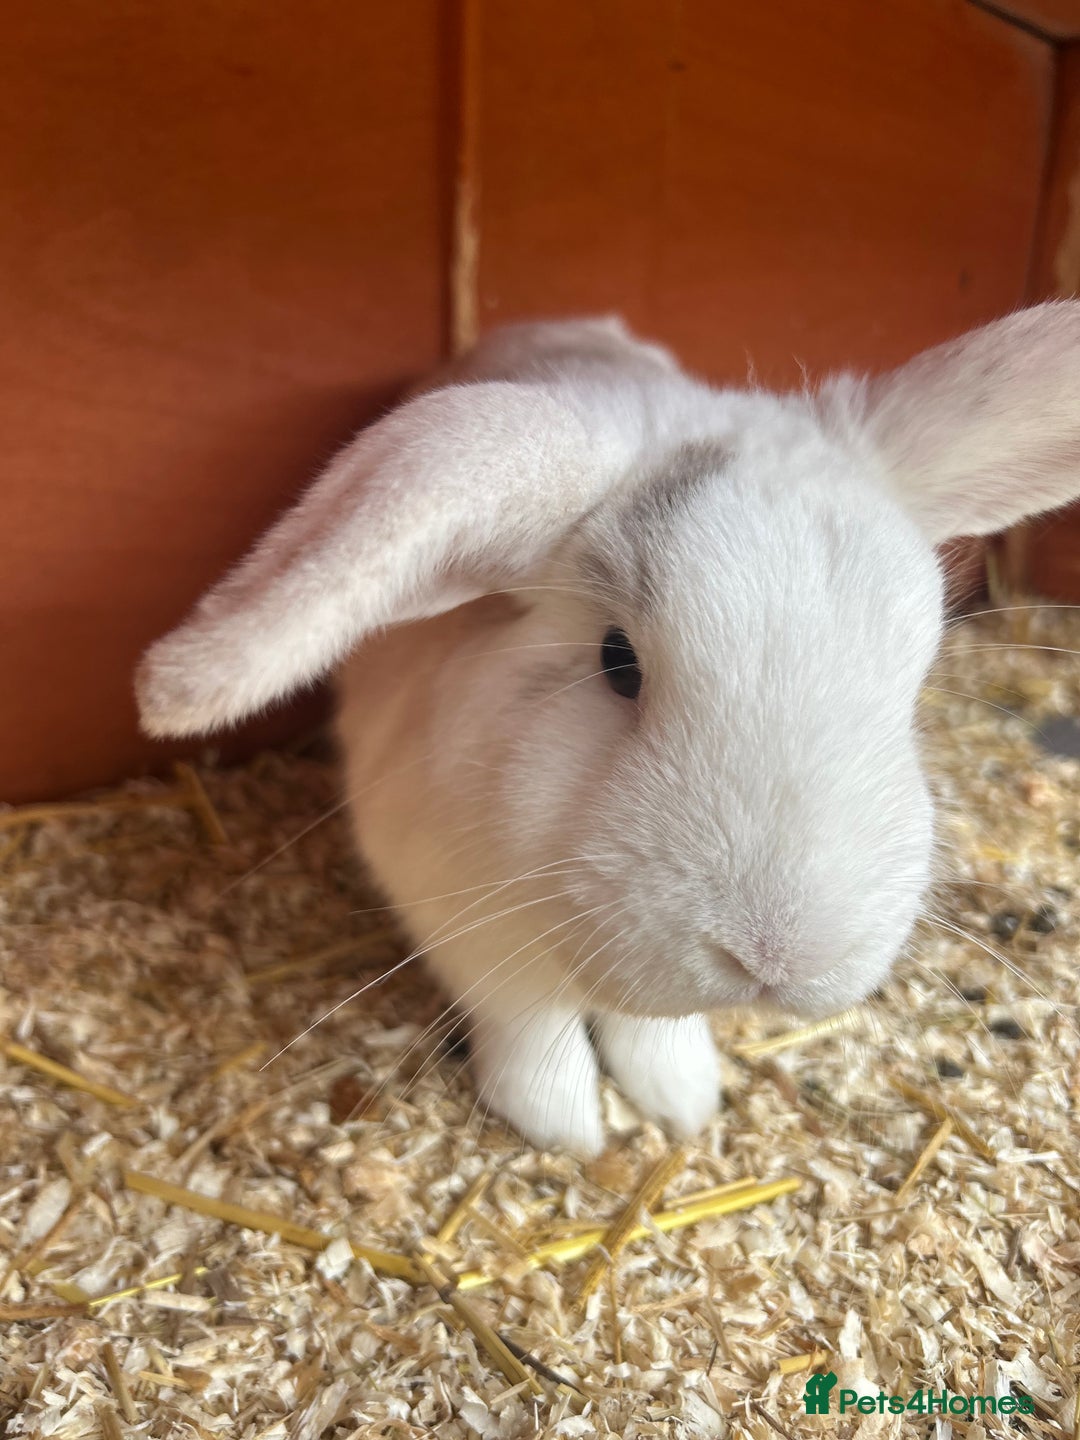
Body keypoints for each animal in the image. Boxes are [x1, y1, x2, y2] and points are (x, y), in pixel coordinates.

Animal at [137, 304, 1080, 1155]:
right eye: (617, 661)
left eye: (911, 670)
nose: (778, 957)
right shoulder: (468, 930)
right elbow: (532, 1027)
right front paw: (568, 1132)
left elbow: (655, 1029)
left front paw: (683, 1103)